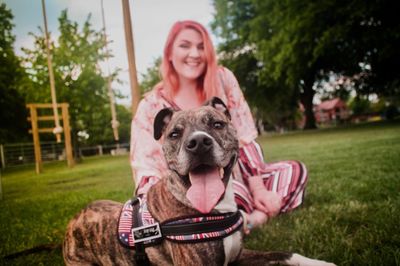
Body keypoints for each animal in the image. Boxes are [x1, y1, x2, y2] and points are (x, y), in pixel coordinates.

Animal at [65, 97, 334, 266]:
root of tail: (73, 220)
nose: (198, 143)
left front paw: (319, 262)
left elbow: (284, 253)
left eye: (217, 124)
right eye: (174, 133)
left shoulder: (240, 255)